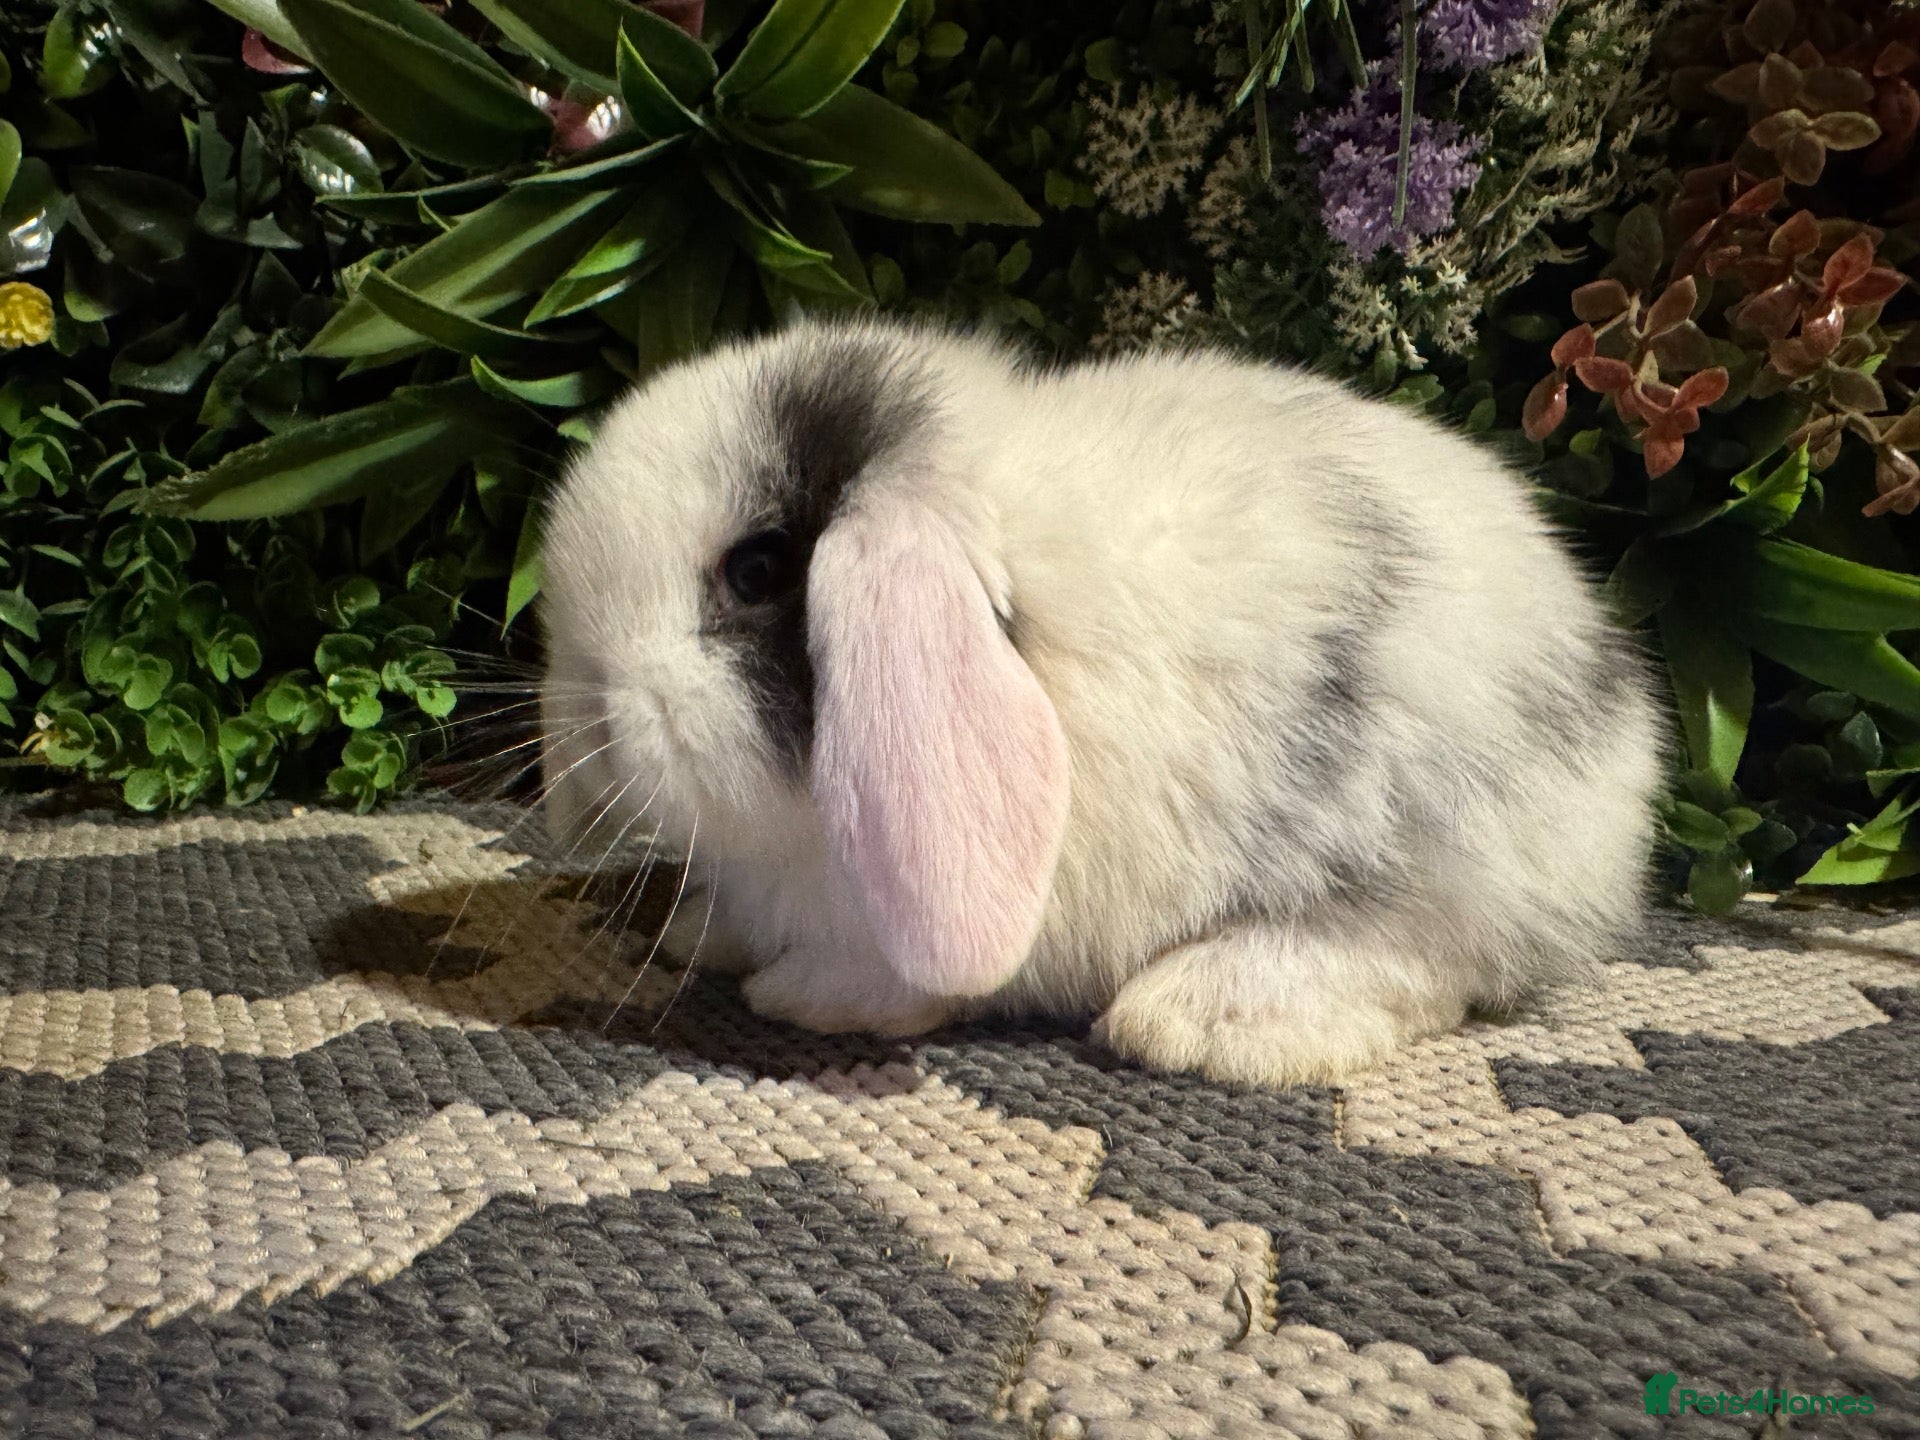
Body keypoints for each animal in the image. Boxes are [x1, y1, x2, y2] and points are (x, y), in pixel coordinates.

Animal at [537, 314, 1665, 1087]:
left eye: (757, 570)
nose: (587, 715)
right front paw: (699, 933)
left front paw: (801, 996)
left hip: (1430, 842)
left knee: (1429, 960)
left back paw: (1198, 1019)